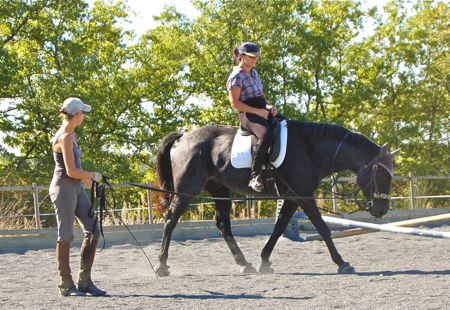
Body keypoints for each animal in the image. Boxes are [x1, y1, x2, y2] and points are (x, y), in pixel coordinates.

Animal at [154, 119, 398, 276]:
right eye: (382, 175)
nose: (381, 210)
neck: (310, 150)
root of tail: (186, 136)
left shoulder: (292, 197)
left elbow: (279, 227)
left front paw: (264, 261)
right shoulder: (303, 195)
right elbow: (322, 228)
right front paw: (342, 263)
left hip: (220, 190)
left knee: (223, 225)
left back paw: (245, 264)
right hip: (188, 189)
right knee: (171, 220)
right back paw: (162, 266)